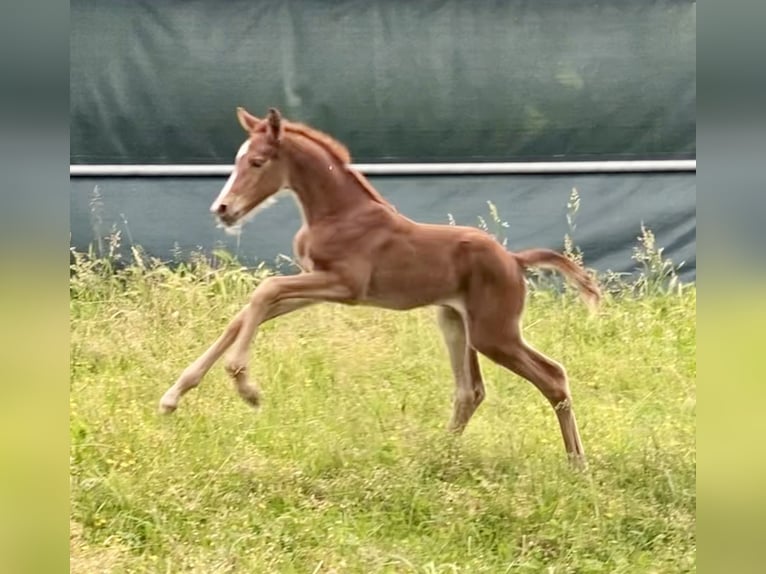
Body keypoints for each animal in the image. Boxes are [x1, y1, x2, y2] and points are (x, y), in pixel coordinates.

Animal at [159, 107, 601, 466]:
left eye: (257, 161)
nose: (223, 209)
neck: (340, 213)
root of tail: (514, 260)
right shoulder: (313, 286)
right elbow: (249, 311)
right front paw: (174, 395)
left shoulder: (345, 285)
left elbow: (264, 290)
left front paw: (245, 386)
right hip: (455, 322)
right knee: (470, 390)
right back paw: (438, 456)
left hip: (494, 333)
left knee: (552, 376)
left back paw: (577, 464)